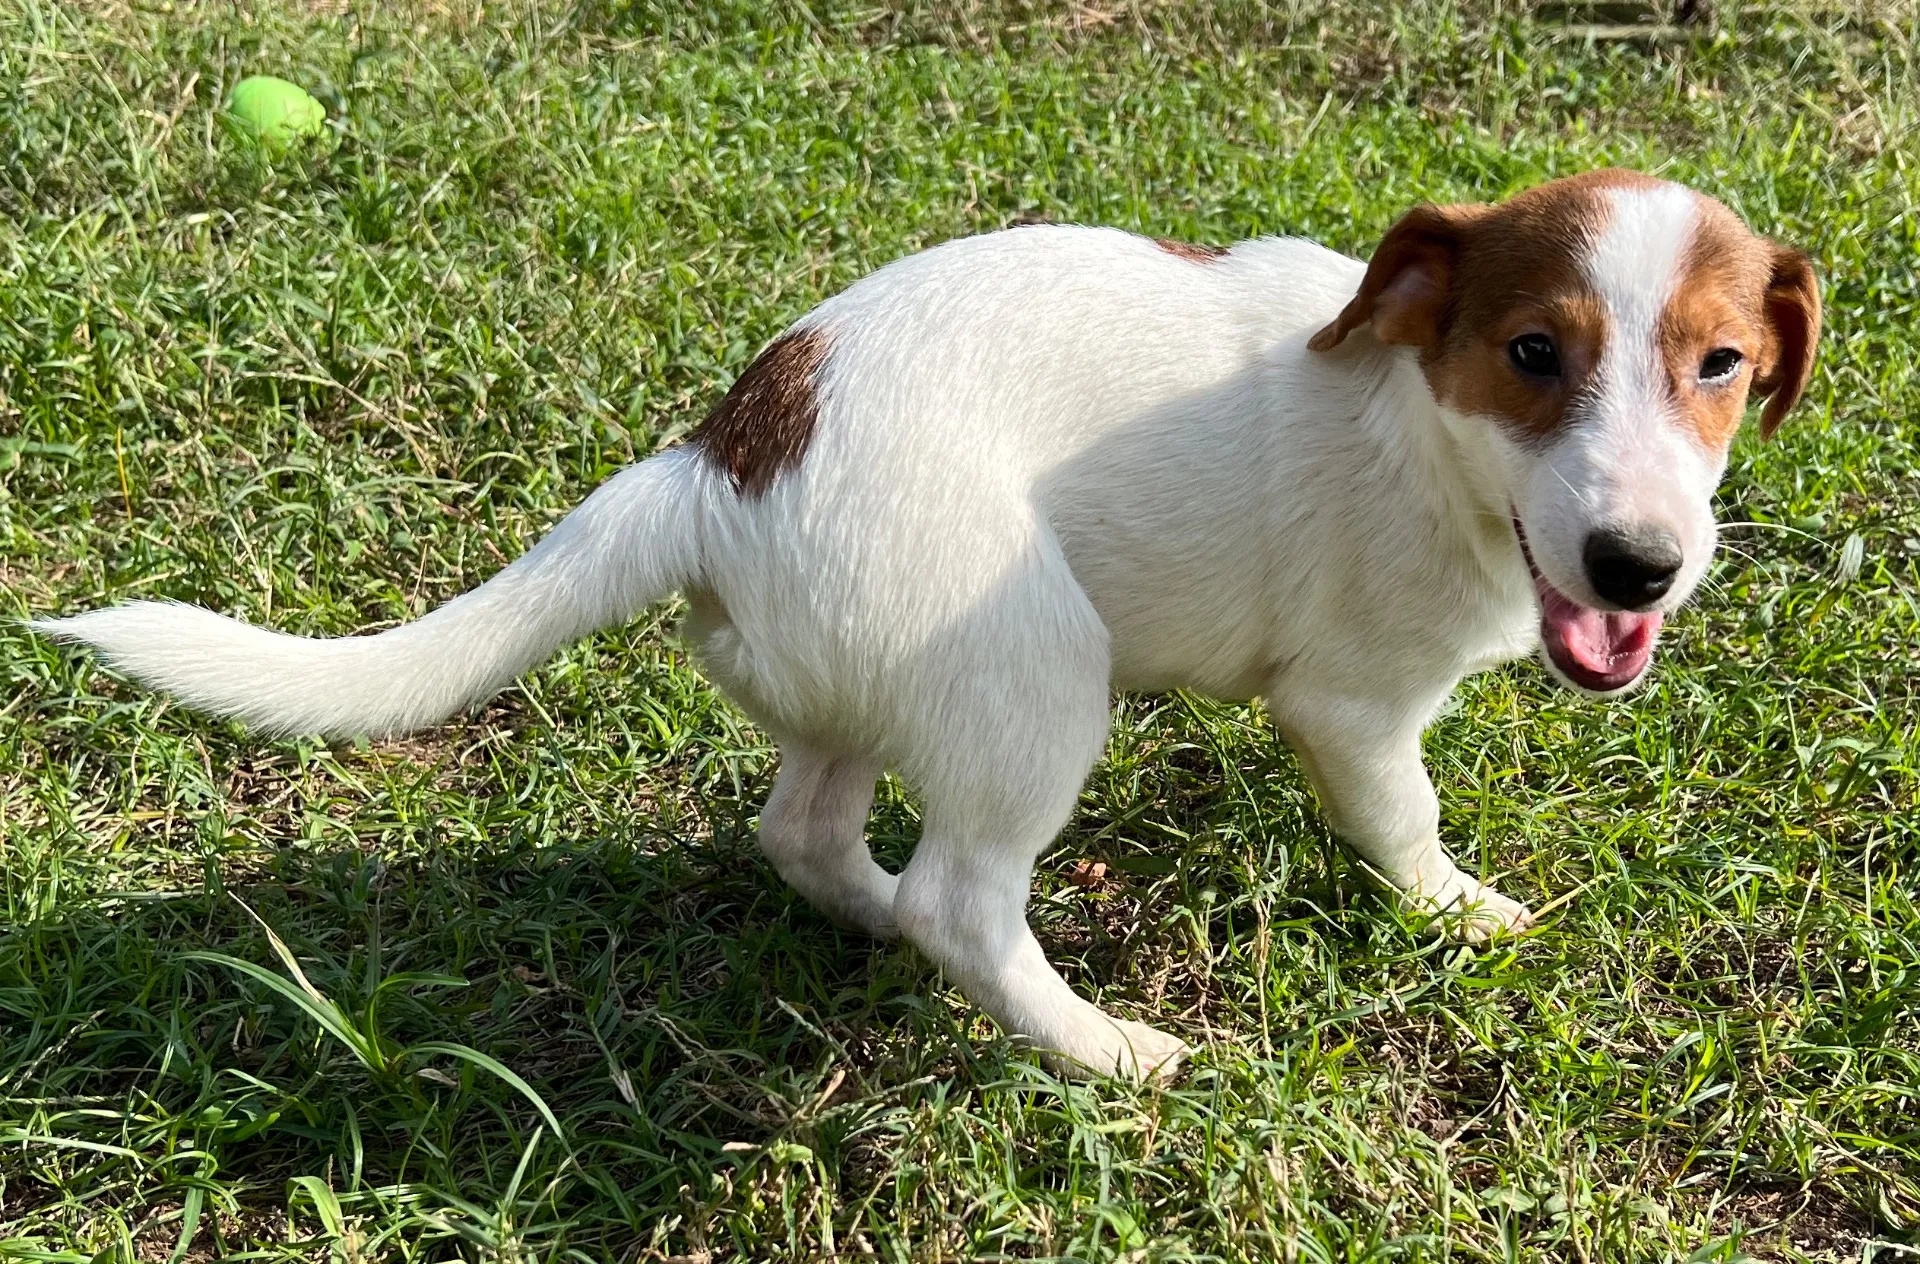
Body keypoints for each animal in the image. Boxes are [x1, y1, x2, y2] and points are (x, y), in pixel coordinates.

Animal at [37, 165, 1820, 1075]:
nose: (1640, 568)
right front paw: (1460, 915)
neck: (1416, 420)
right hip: (1033, 674)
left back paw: (879, 916)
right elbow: (1407, 822)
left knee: (814, 834)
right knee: (971, 898)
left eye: (1722, 365)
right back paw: (1103, 1046)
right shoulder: (1356, 708)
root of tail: (715, 461)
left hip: (866, 684)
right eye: (1533, 355)